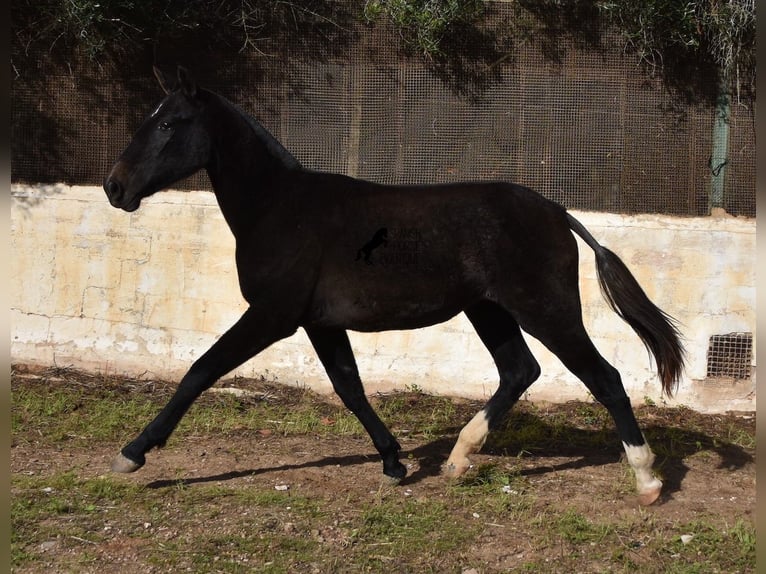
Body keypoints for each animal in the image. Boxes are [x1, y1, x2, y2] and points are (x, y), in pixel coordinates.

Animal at [102, 68, 684, 508]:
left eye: (169, 123)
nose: (115, 187)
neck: (280, 209)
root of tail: (557, 212)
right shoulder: (319, 323)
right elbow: (350, 388)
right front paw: (394, 461)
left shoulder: (272, 315)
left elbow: (200, 370)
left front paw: (133, 452)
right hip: (490, 311)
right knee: (520, 371)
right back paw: (458, 460)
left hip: (546, 310)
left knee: (604, 378)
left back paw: (648, 481)